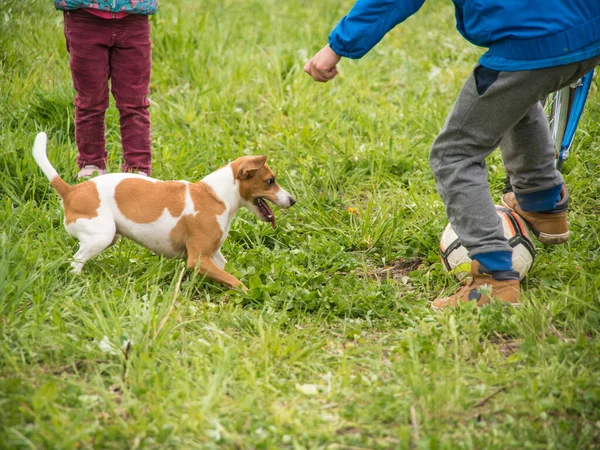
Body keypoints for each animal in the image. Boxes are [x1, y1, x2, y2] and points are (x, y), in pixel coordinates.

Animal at [32, 132, 296, 290]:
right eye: (271, 181)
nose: (293, 200)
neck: (216, 195)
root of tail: (71, 191)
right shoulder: (198, 260)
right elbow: (236, 282)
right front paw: (247, 292)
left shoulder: (215, 257)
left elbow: (228, 270)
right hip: (102, 236)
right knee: (75, 262)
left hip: (108, 236)